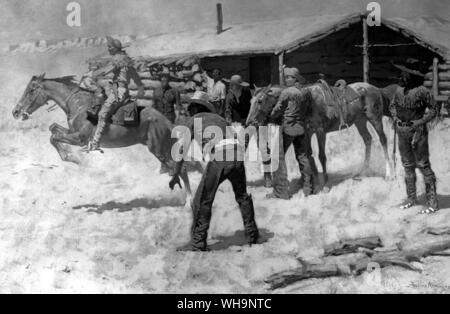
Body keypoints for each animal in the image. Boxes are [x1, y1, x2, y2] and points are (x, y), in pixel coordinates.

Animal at [12, 74, 192, 206]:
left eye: (31, 90)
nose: (15, 112)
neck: (79, 104)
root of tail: (164, 120)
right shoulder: (72, 132)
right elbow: (53, 129)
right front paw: (70, 156)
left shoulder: (80, 138)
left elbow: (54, 136)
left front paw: (75, 158)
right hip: (164, 146)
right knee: (179, 168)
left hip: (158, 148)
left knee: (179, 169)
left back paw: (188, 202)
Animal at [244, 81, 392, 184]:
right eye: (250, 101)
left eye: (260, 101)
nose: (249, 121)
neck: (308, 102)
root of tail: (375, 88)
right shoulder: (308, 133)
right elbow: (309, 154)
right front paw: (312, 179)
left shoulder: (320, 132)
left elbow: (321, 156)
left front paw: (324, 182)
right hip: (360, 121)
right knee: (368, 139)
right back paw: (363, 171)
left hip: (375, 118)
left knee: (383, 140)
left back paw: (389, 174)